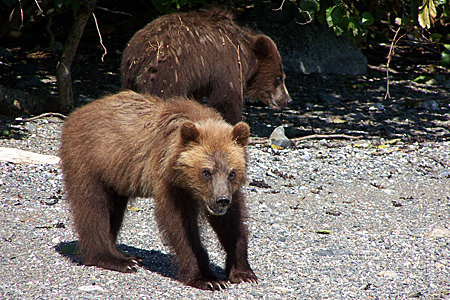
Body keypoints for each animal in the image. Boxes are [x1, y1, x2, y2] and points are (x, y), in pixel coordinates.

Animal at [59, 90, 256, 290]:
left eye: (232, 172)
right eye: (206, 171)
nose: (221, 200)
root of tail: (77, 113)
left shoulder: (229, 192)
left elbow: (232, 223)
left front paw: (243, 272)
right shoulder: (168, 181)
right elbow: (180, 225)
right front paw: (206, 278)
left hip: (116, 175)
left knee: (114, 209)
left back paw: (127, 256)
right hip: (89, 159)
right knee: (92, 206)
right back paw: (113, 259)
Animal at [120, 8, 292, 124]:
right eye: (279, 78)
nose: (288, 100)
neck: (244, 54)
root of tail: (140, 54)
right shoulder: (226, 65)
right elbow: (226, 99)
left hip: (130, 77)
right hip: (168, 73)